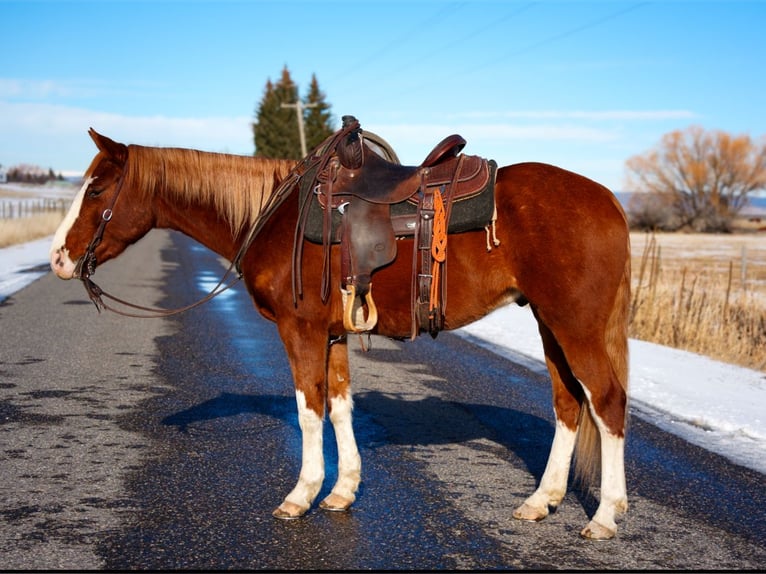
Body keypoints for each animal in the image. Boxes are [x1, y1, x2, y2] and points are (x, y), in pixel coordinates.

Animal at [50, 124, 630, 540]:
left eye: (96, 188)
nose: (57, 257)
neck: (275, 215)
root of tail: (610, 199)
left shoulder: (301, 330)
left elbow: (309, 410)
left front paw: (301, 495)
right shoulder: (333, 335)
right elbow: (340, 405)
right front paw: (342, 490)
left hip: (574, 326)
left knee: (606, 402)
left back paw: (605, 516)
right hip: (549, 325)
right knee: (567, 404)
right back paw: (540, 502)